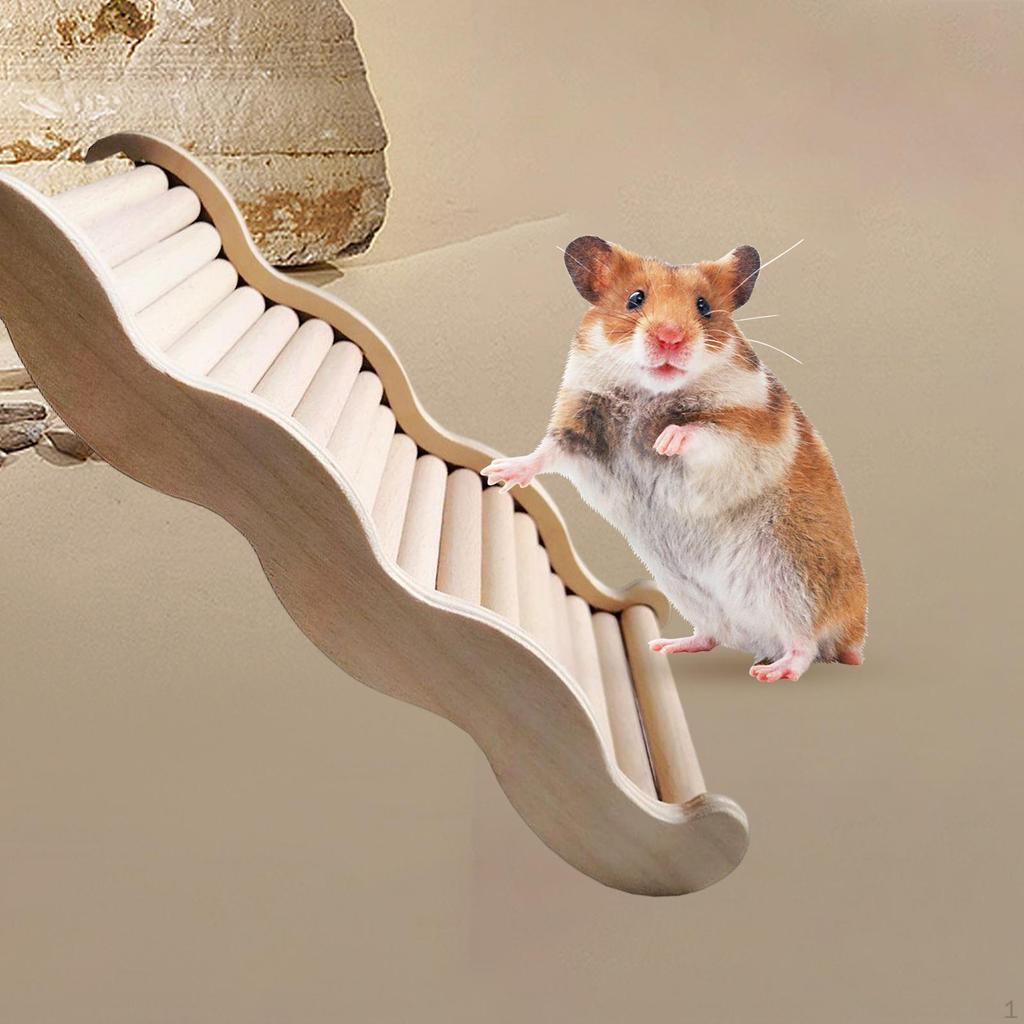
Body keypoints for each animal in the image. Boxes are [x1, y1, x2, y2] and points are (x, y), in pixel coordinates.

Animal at [482, 236, 866, 682]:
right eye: (634, 299)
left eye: (704, 306)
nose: (670, 338)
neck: (649, 392)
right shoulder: (578, 427)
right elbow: (547, 452)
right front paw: (498, 472)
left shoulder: (747, 431)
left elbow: (703, 433)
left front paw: (665, 441)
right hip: (690, 592)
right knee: (714, 635)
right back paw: (667, 646)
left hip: (794, 579)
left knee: (807, 643)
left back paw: (773, 671)